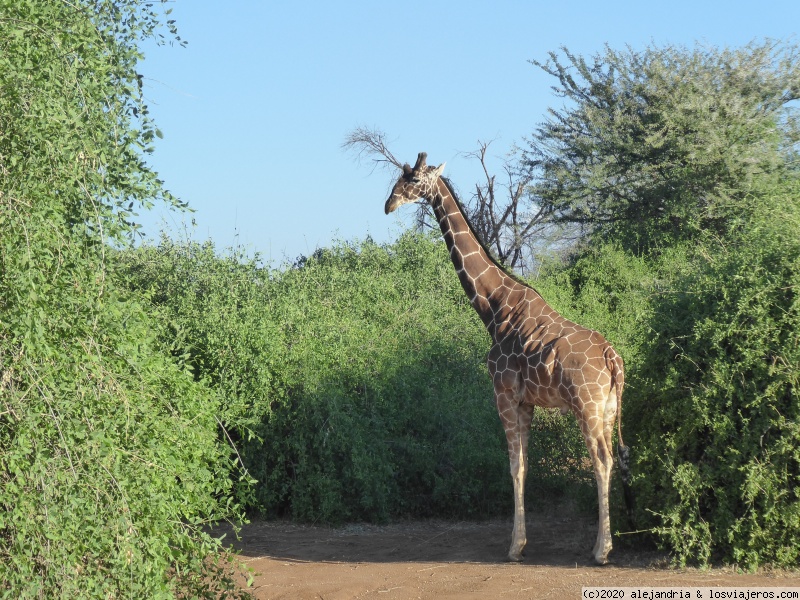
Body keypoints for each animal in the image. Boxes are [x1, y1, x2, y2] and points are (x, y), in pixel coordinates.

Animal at [384, 152, 636, 564]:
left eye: (414, 180)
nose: (388, 204)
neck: (494, 307)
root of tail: (611, 358)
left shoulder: (503, 394)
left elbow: (514, 467)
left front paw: (515, 547)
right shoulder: (527, 401)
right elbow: (526, 466)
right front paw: (521, 541)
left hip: (587, 406)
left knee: (601, 461)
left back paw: (601, 550)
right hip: (610, 408)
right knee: (615, 460)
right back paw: (607, 542)